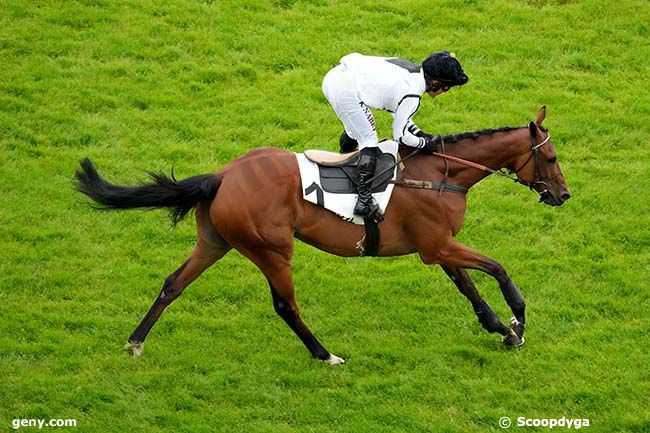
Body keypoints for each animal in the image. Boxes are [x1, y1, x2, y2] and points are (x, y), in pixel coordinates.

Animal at [76, 106, 568, 362]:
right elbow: (497, 270)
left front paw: (498, 327)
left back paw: (136, 340)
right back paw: (324, 353)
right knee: (285, 305)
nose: (563, 195)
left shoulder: (438, 246)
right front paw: (517, 321)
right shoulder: (438, 245)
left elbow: (469, 287)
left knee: (172, 284)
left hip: (215, 242)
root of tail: (222, 176)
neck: (442, 173)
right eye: (550, 158)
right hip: (272, 249)